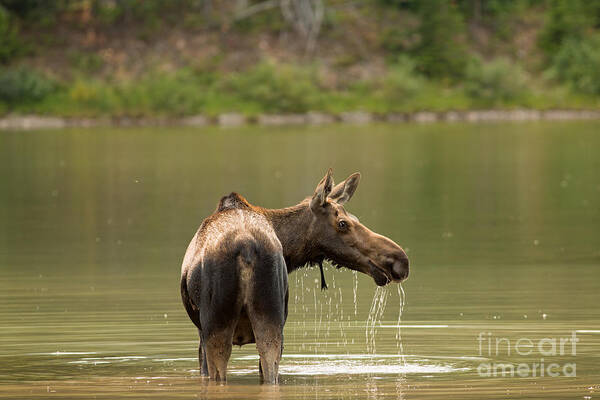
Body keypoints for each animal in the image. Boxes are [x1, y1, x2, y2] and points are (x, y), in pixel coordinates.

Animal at [180, 169, 410, 384]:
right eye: (343, 223)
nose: (400, 260)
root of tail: (246, 246)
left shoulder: (201, 333)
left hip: (219, 326)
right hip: (268, 323)